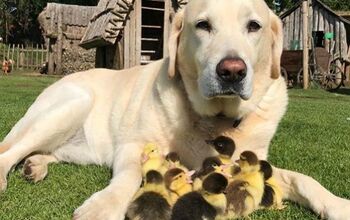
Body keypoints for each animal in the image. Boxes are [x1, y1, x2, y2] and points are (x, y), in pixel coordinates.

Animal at [0, 0, 350, 219]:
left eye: (254, 26)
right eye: (203, 25)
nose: (232, 71)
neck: (216, 120)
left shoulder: (253, 161)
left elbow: (303, 179)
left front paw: (338, 205)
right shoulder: (133, 145)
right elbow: (129, 177)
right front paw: (103, 207)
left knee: (45, 151)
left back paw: (36, 166)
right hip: (72, 103)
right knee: (10, 150)